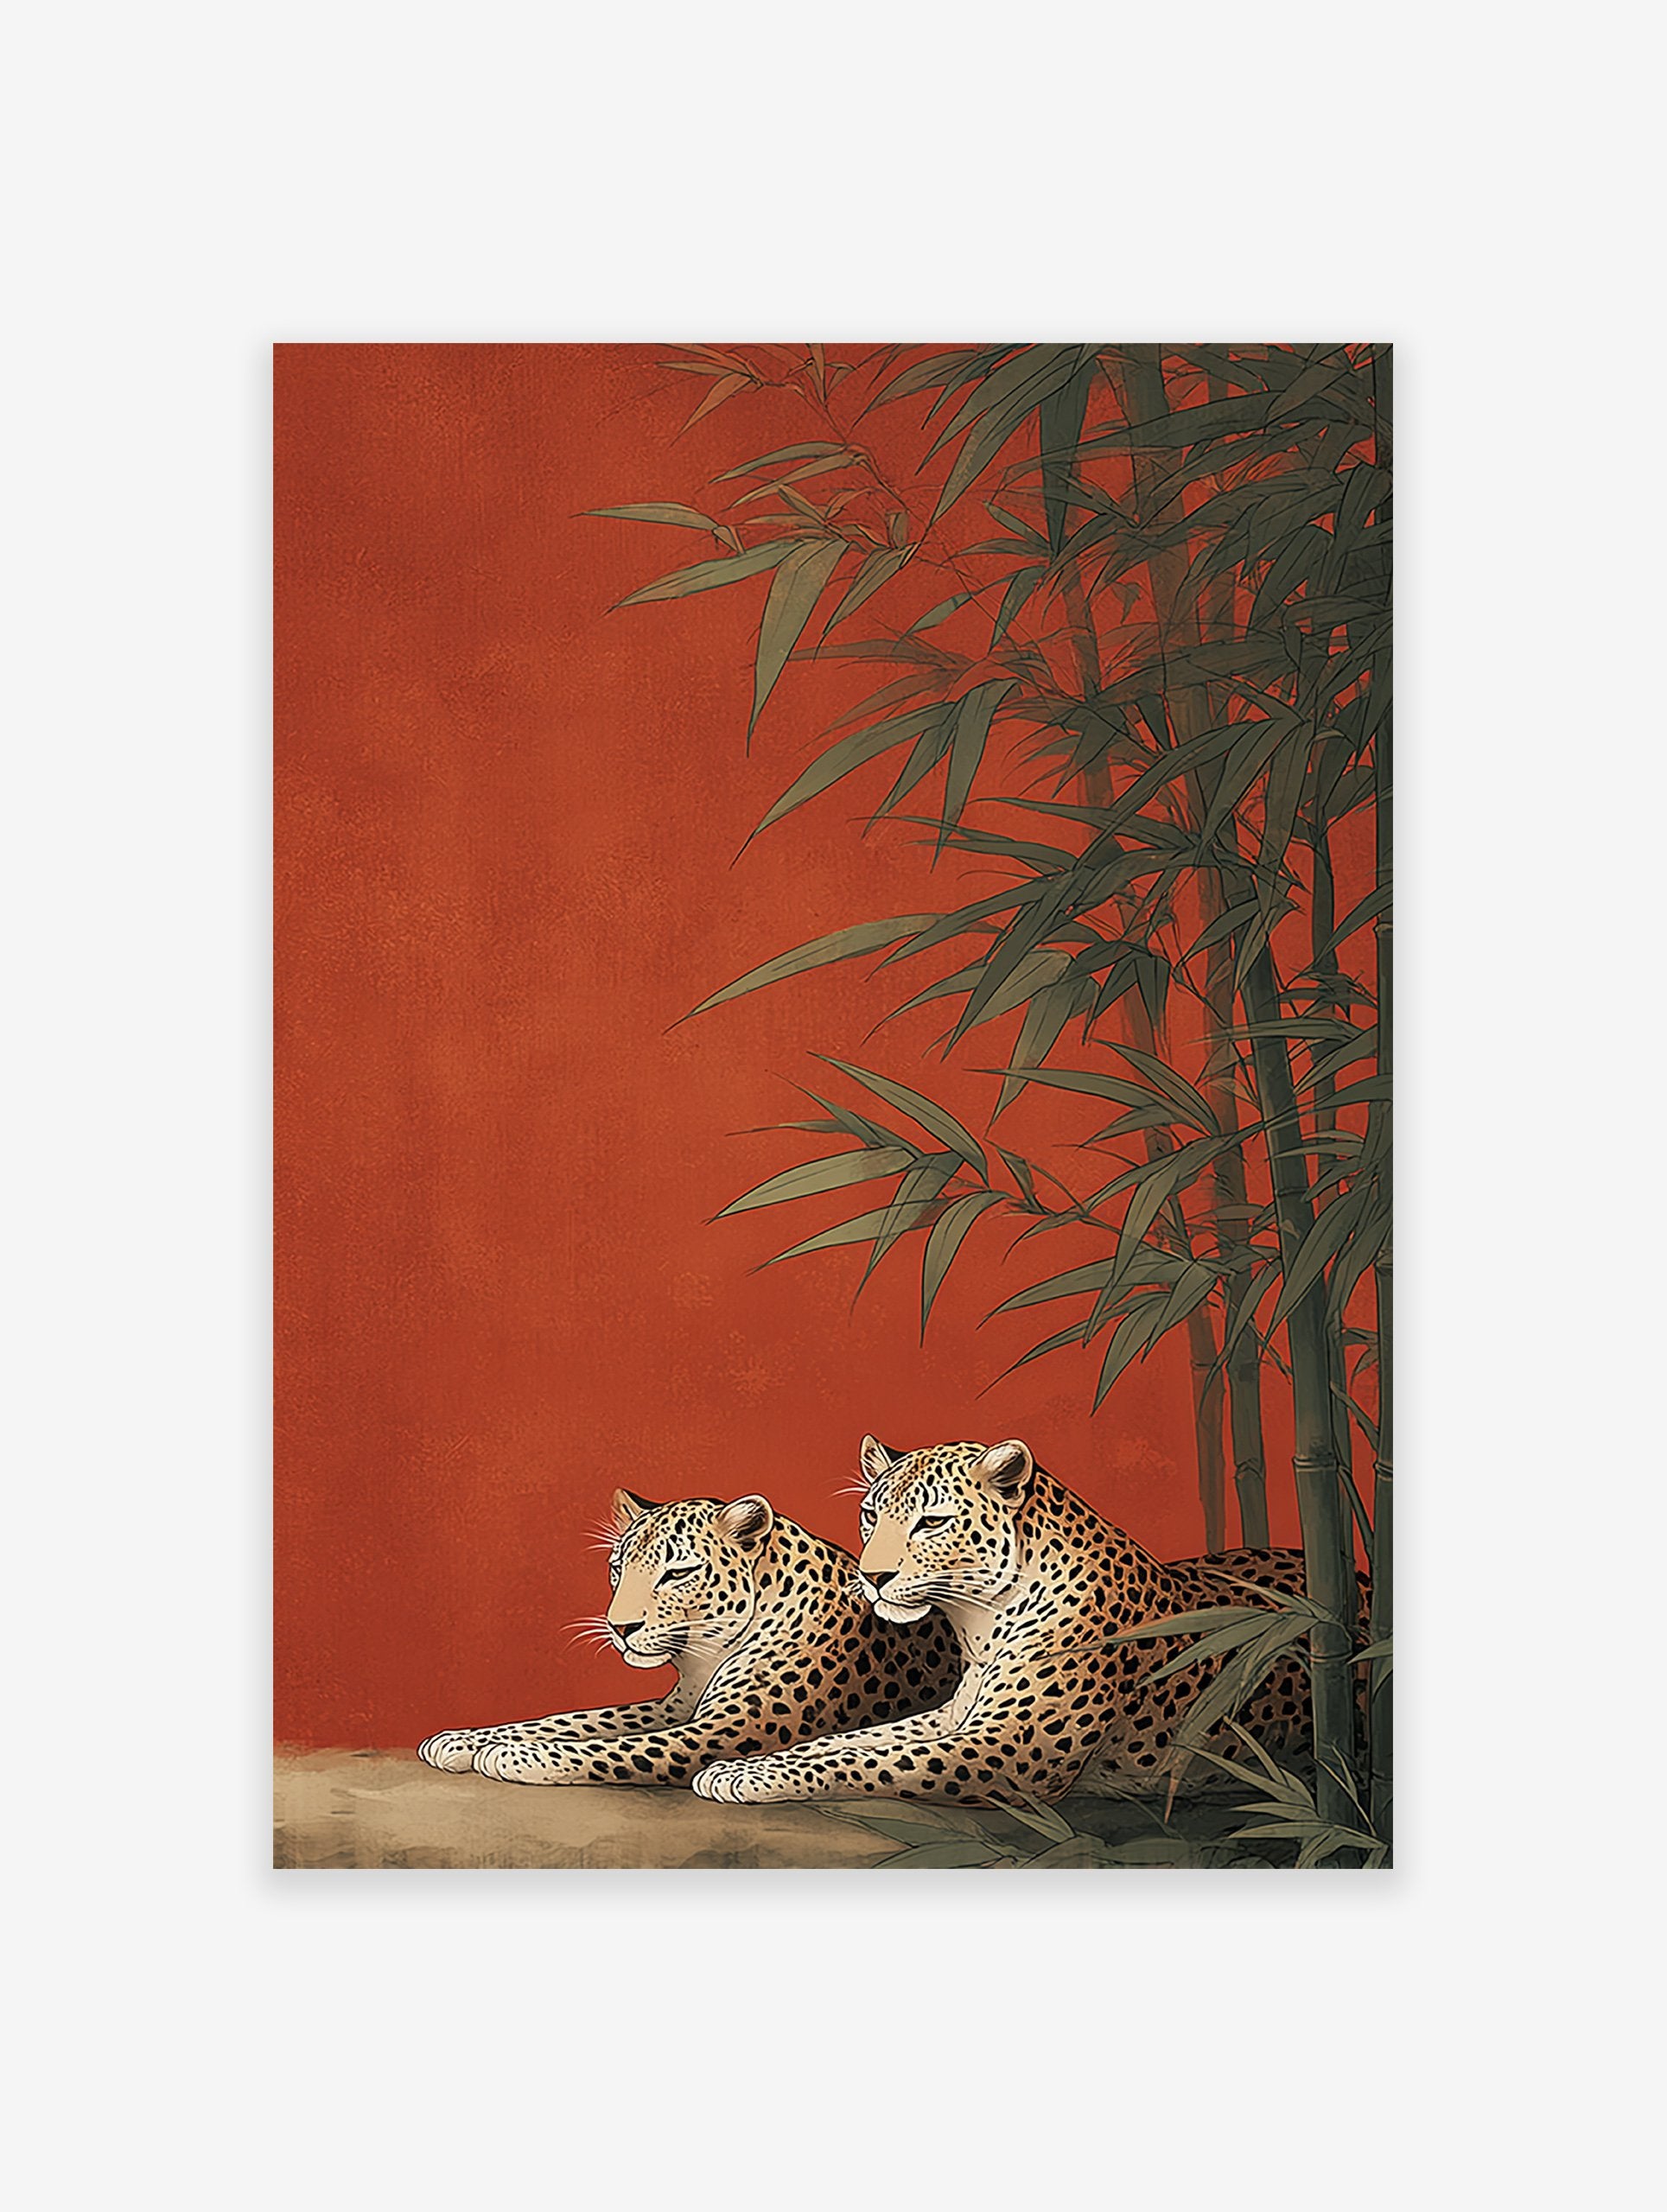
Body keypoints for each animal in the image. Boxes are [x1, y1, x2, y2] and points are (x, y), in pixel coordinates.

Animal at [417, 1486, 962, 1786]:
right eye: (618, 1568)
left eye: (677, 1573)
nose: (620, 1627)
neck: (704, 1655)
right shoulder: (677, 1707)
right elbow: (571, 1721)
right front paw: (465, 1740)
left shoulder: (728, 1730)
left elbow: (617, 1749)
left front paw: (515, 1755)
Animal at [694, 1434, 1364, 1807]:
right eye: (869, 1515)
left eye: (931, 1522)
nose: (872, 1576)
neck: (980, 1626)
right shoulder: (951, 1718)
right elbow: (842, 1742)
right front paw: (743, 1765)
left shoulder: (1008, 1749)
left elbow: (866, 1763)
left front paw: (742, 1776)